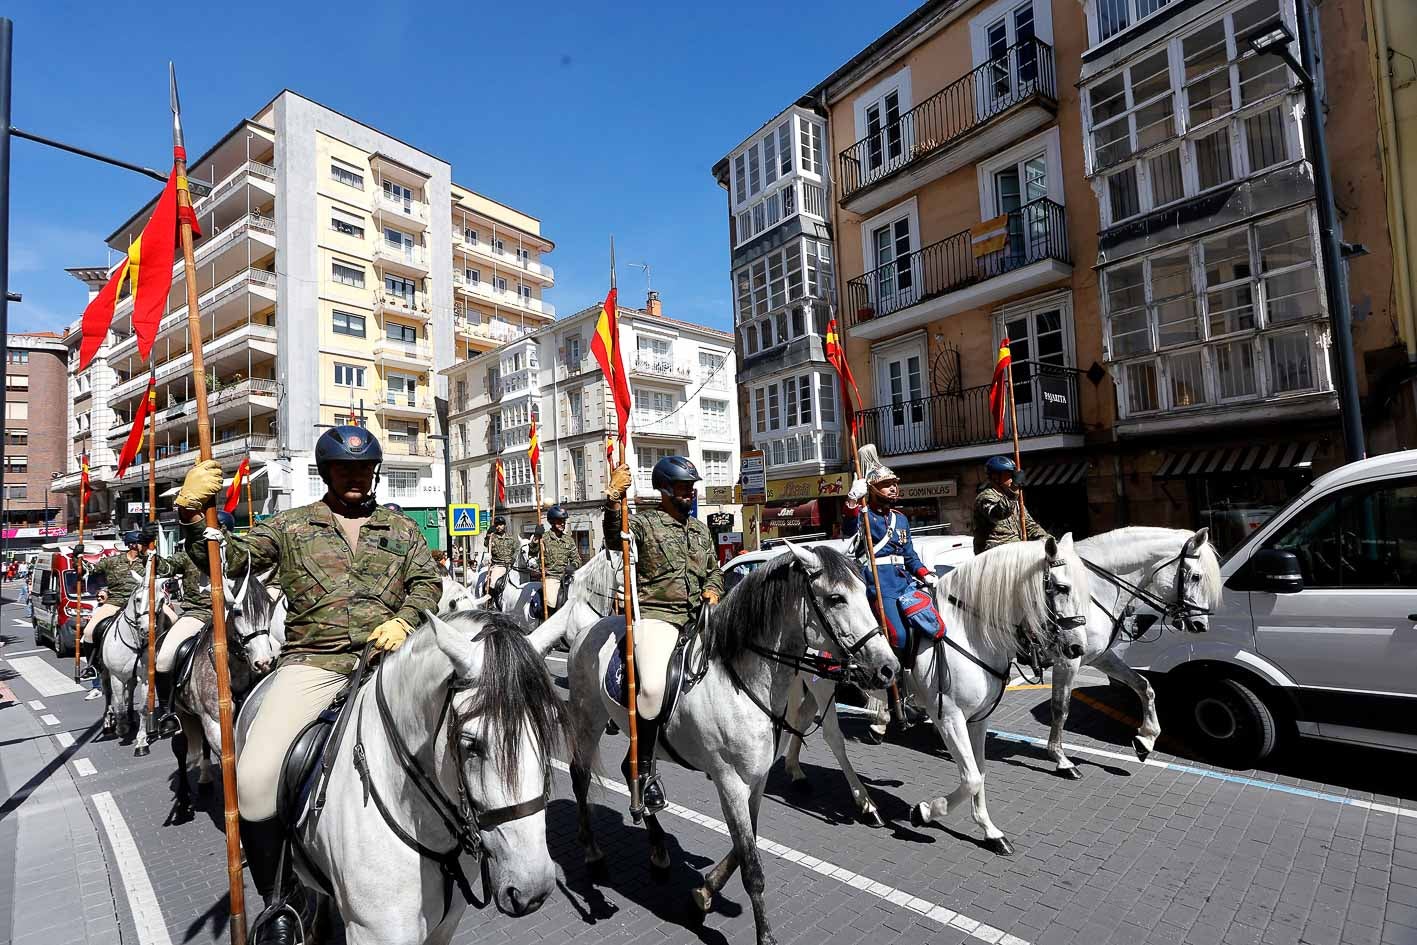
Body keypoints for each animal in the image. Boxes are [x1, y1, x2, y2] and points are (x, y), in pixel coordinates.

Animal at [541, 544, 895, 945]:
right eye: (836, 598)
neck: (741, 682)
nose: (889, 668)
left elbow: (745, 846)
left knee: (632, 769)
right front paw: (763, 935)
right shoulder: (729, 782)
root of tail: (590, 628)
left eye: (865, 591)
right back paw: (594, 855)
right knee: (580, 775)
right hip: (589, 718)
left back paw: (658, 847)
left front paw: (702, 894)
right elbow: (751, 865)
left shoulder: (756, 781)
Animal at [901, 535, 1088, 855]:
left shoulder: (977, 719)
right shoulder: (949, 718)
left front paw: (989, 831)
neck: (966, 631)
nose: (1078, 648)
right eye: (1062, 587)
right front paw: (925, 811)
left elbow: (979, 773)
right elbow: (972, 779)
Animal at [1048, 524, 1224, 776]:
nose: (1201, 625)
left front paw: (1146, 740)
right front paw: (1061, 759)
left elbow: (1143, 685)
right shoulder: (1067, 659)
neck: (1092, 592)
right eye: (1197, 576)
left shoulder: (1099, 656)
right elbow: (1060, 707)